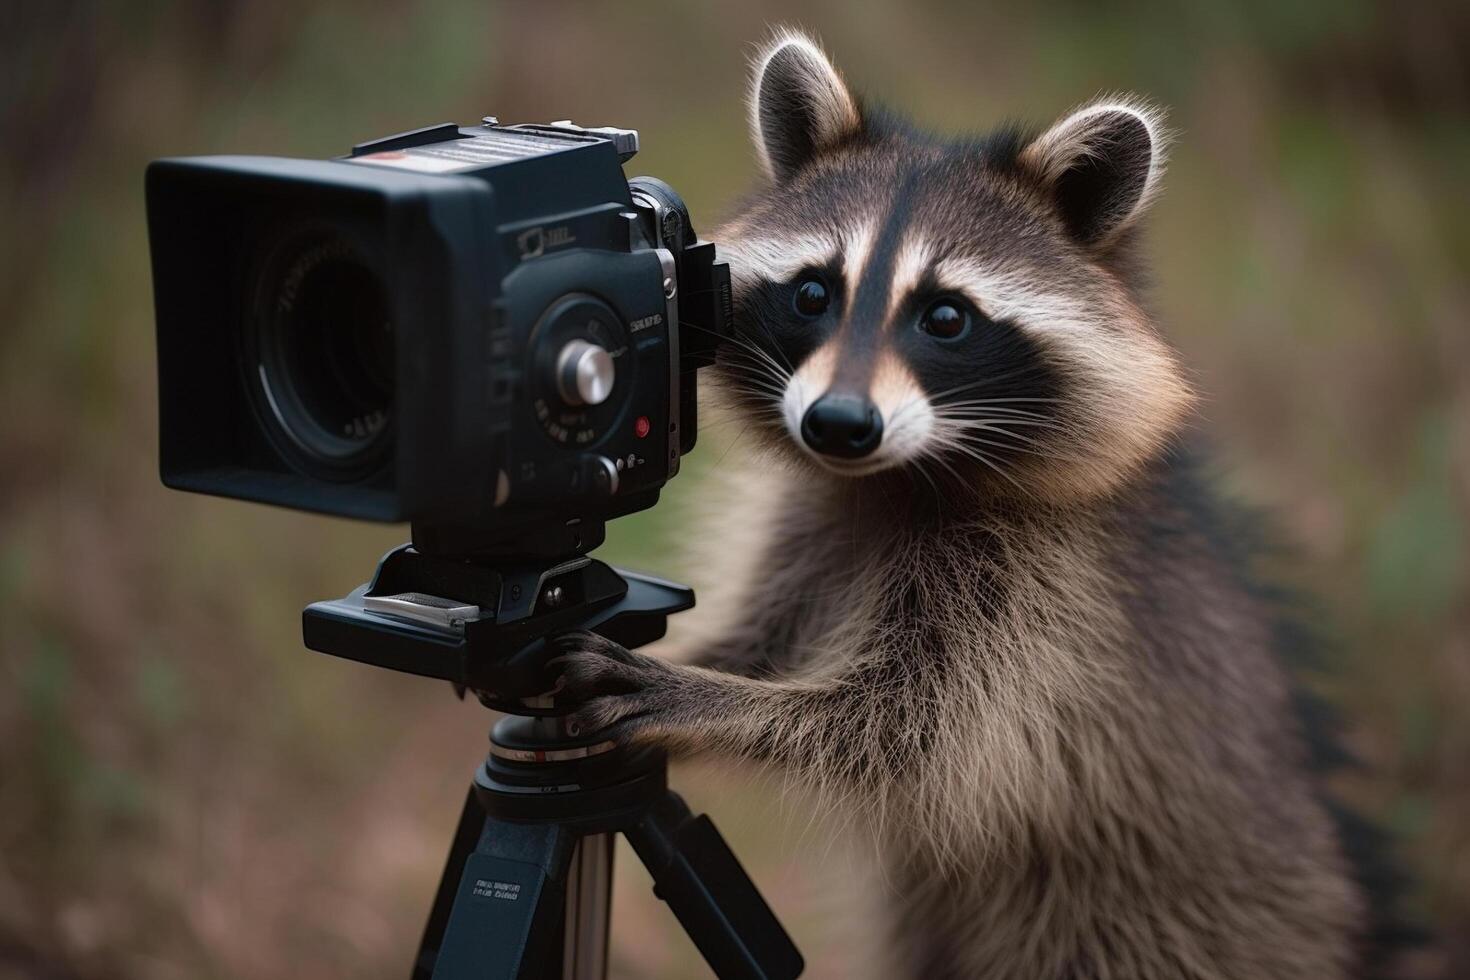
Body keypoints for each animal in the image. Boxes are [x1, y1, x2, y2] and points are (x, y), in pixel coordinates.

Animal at [555, 26, 1405, 975]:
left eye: (946, 317)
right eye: (814, 293)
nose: (837, 424)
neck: (895, 479)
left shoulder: (1050, 596)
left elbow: (908, 728)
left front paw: (709, 702)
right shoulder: (810, 520)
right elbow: (770, 640)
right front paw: (703, 660)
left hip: (1146, 924)